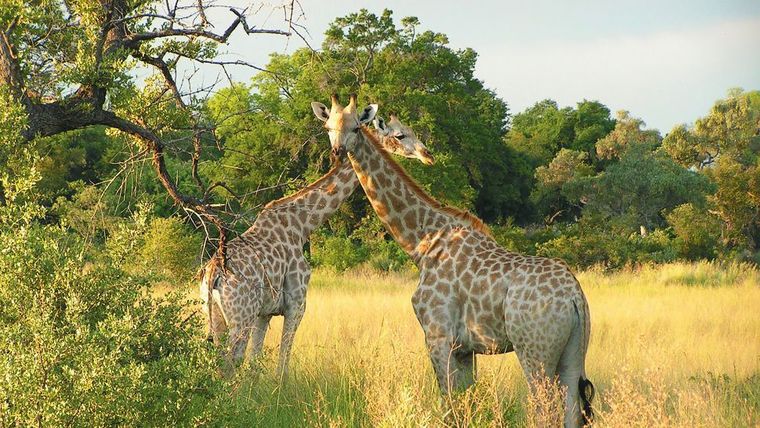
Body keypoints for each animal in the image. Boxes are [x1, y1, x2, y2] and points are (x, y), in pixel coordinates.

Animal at [199, 98, 430, 380]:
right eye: (400, 134)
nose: (426, 154)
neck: (303, 225)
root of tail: (213, 273)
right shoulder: (296, 304)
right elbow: (282, 361)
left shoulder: (264, 312)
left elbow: (255, 362)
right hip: (240, 317)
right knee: (230, 363)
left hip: (215, 318)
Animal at [312, 94, 596, 428]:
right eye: (328, 127)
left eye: (356, 127)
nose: (337, 153)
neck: (422, 242)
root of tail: (574, 298)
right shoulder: (465, 349)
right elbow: (466, 403)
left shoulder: (438, 337)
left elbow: (448, 406)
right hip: (574, 354)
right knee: (572, 412)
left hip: (534, 352)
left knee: (546, 411)